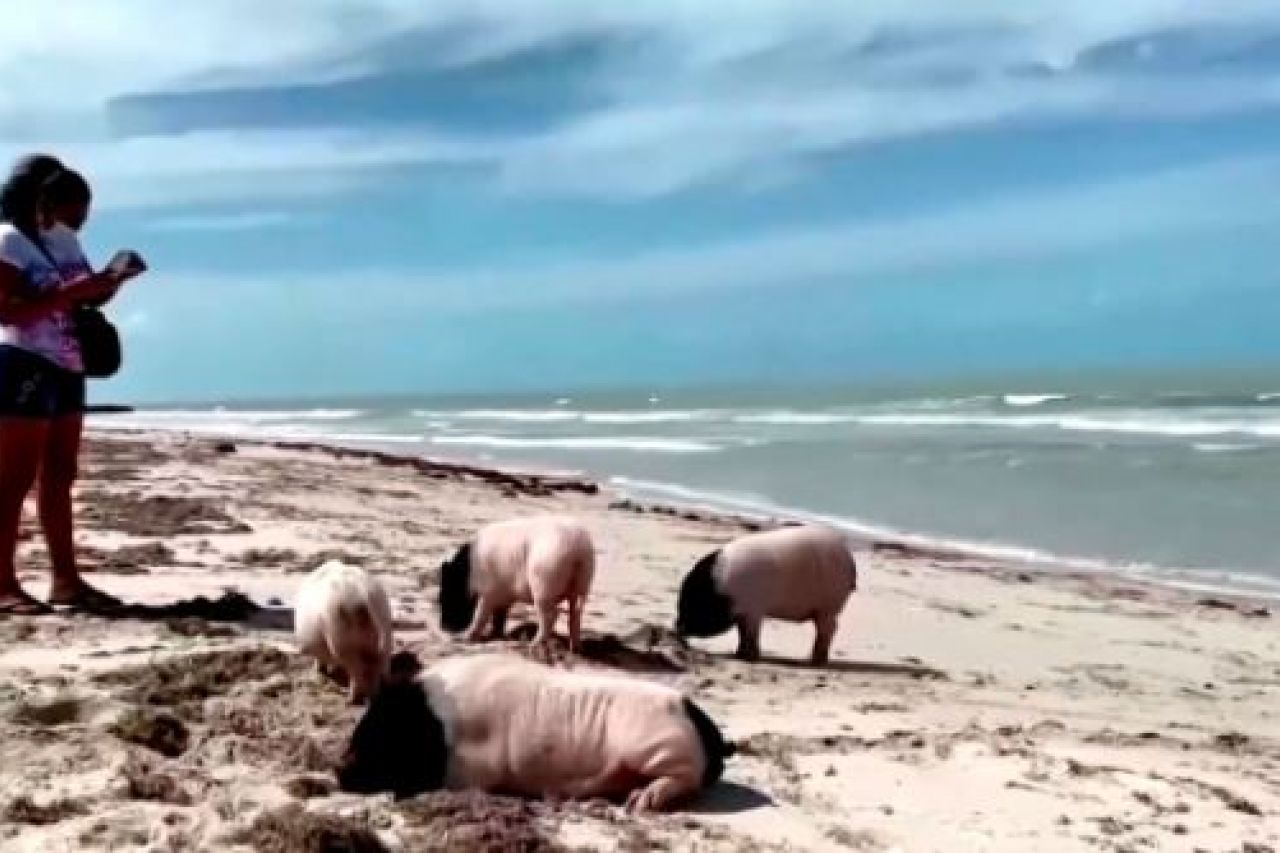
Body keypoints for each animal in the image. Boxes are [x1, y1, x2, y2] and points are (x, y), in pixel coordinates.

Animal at [294, 560, 395, 704]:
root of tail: (363, 593)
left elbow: (320, 659)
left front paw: (321, 672)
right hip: (385, 626)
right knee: (376, 666)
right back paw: (373, 697)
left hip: (341, 635)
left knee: (356, 671)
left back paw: (350, 700)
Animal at [337, 651, 735, 812]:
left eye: (383, 730)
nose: (338, 768)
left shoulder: (475, 768)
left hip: (657, 745)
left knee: (683, 779)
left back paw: (641, 803)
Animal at [438, 515, 595, 652]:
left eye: (446, 595)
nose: (443, 627)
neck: (468, 573)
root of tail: (577, 549)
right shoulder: (504, 595)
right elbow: (499, 616)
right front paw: (496, 636)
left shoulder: (487, 593)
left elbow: (480, 615)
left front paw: (467, 638)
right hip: (583, 582)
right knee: (575, 614)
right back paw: (575, 649)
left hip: (544, 582)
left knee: (551, 615)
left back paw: (533, 645)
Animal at [675, 524, 857, 665]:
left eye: (695, 603)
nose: (676, 627)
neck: (720, 591)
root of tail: (850, 561)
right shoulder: (745, 613)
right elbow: (742, 633)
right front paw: (738, 655)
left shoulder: (753, 610)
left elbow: (751, 634)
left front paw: (748, 658)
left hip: (828, 607)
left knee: (829, 629)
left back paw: (814, 662)